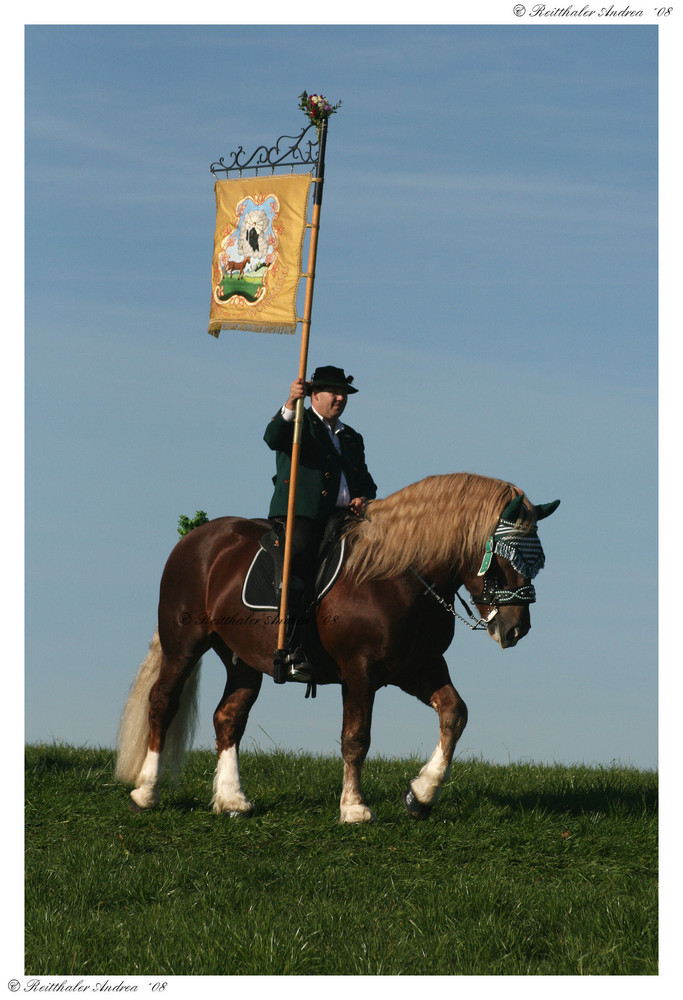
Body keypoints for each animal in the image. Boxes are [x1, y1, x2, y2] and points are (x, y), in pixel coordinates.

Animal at [115, 472, 559, 823]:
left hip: (242, 659)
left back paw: (232, 799)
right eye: (504, 557)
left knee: (229, 717)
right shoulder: (360, 670)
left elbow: (455, 714)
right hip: (184, 643)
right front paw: (355, 807)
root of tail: (197, 538)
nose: (516, 628)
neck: (397, 575)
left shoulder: (419, 667)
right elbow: (356, 737)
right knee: (163, 703)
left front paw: (421, 794)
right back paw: (146, 792)